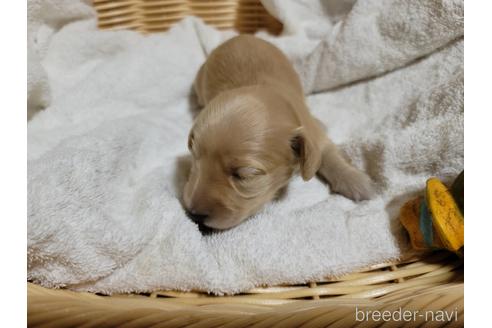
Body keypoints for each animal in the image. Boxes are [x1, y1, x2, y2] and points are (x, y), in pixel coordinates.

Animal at [184, 34, 372, 229]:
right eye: (195, 159)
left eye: (244, 175)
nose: (193, 215)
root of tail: (238, 36)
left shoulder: (312, 131)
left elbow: (328, 156)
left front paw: (355, 181)